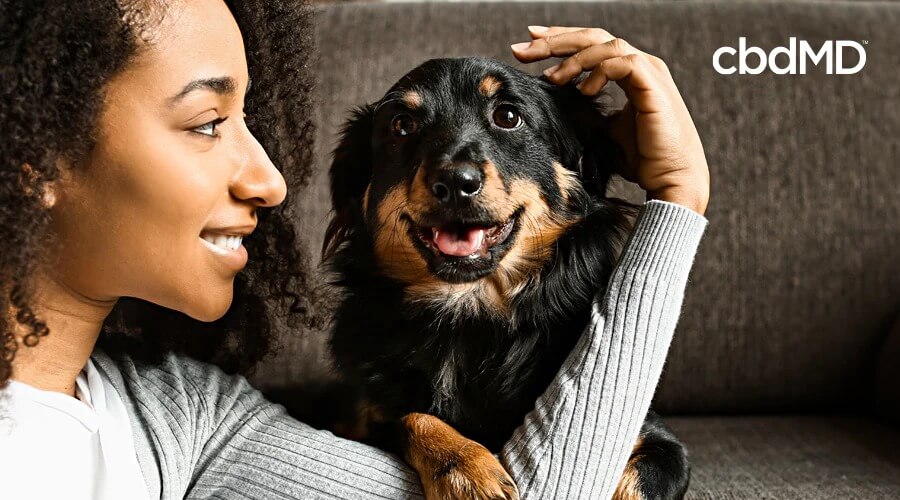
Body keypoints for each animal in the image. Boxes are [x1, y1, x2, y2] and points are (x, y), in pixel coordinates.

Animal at [322, 56, 688, 498]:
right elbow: (409, 416)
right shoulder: (359, 413)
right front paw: (465, 467)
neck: (467, 312)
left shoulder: (656, 440)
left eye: (508, 117)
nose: (455, 183)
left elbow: (639, 480)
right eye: (401, 125)